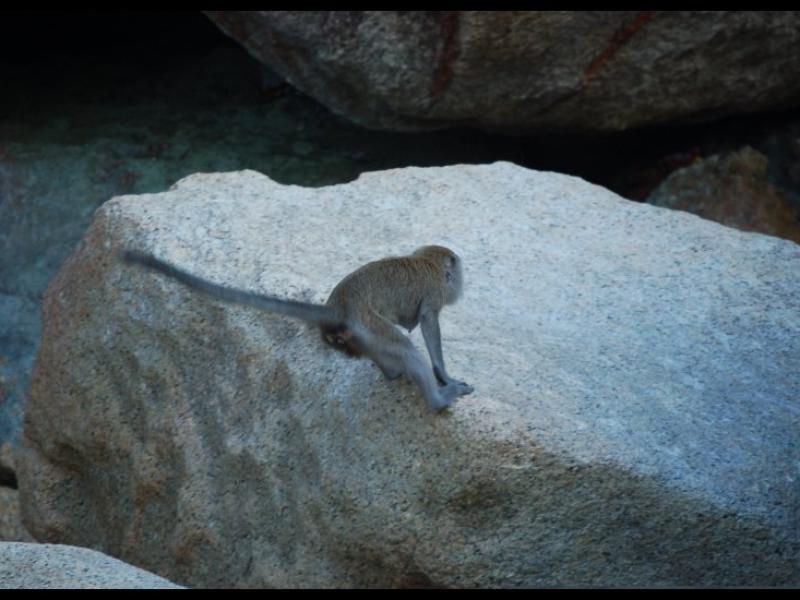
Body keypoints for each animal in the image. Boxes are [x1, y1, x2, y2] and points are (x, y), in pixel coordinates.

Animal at [122, 246, 474, 412]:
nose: (462, 286)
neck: (429, 264)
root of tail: (337, 307)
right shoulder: (433, 297)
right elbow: (428, 326)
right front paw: (445, 375)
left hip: (362, 335)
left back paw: (392, 373)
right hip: (370, 325)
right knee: (404, 347)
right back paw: (438, 400)